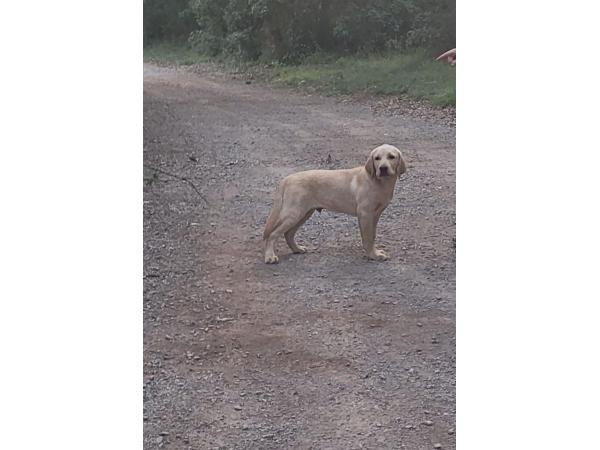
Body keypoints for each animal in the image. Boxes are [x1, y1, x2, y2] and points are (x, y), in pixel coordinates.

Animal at [264, 144, 408, 264]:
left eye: (391, 157)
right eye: (377, 158)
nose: (383, 168)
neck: (378, 183)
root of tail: (287, 179)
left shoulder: (375, 215)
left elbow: (372, 235)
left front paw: (373, 253)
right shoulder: (365, 214)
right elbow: (368, 237)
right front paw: (373, 255)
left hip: (304, 213)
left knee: (288, 234)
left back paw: (297, 249)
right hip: (293, 213)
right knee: (272, 234)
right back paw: (270, 256)